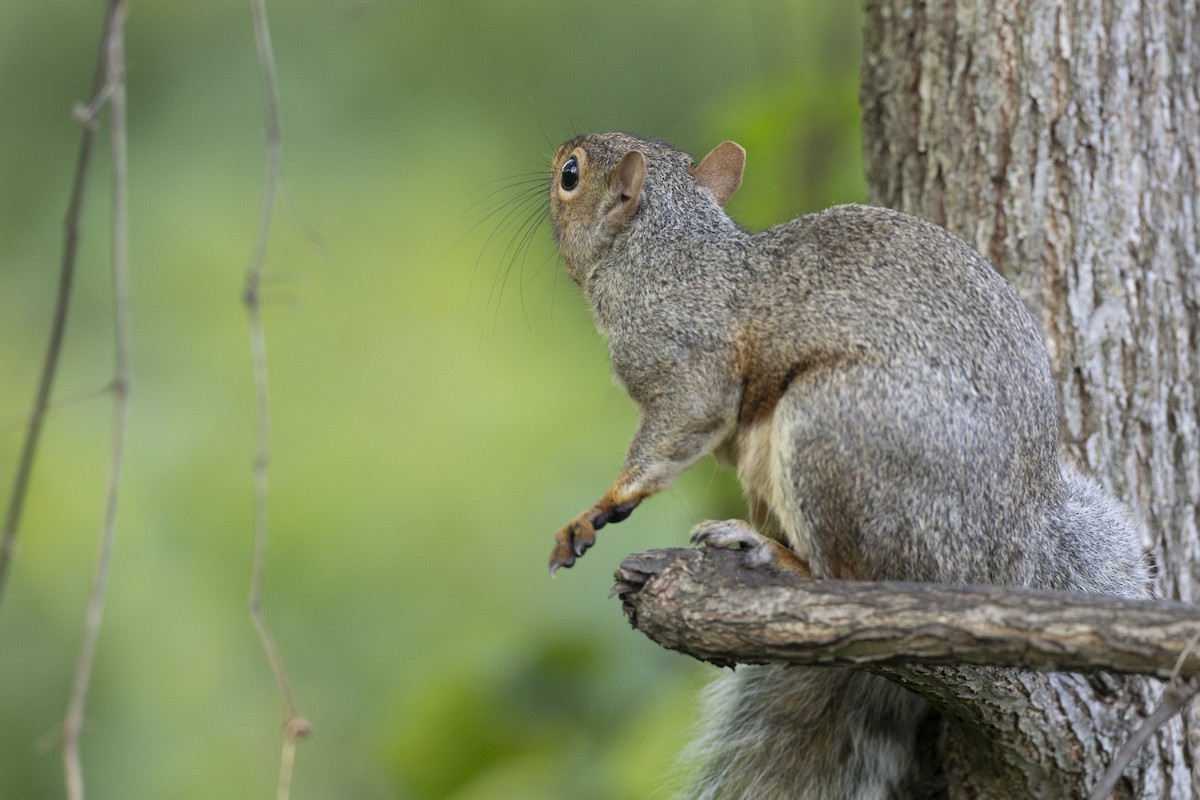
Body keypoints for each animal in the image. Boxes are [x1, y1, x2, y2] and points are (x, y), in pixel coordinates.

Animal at [543, 131, 1149, 798]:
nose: (559, 155)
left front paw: (598, 510)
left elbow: (675, 431)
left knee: (848, 581)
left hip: (832, 432)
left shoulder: (685, 361)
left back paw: (774, 556)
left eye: (570, 174)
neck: (662, 252)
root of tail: (1010, 556)